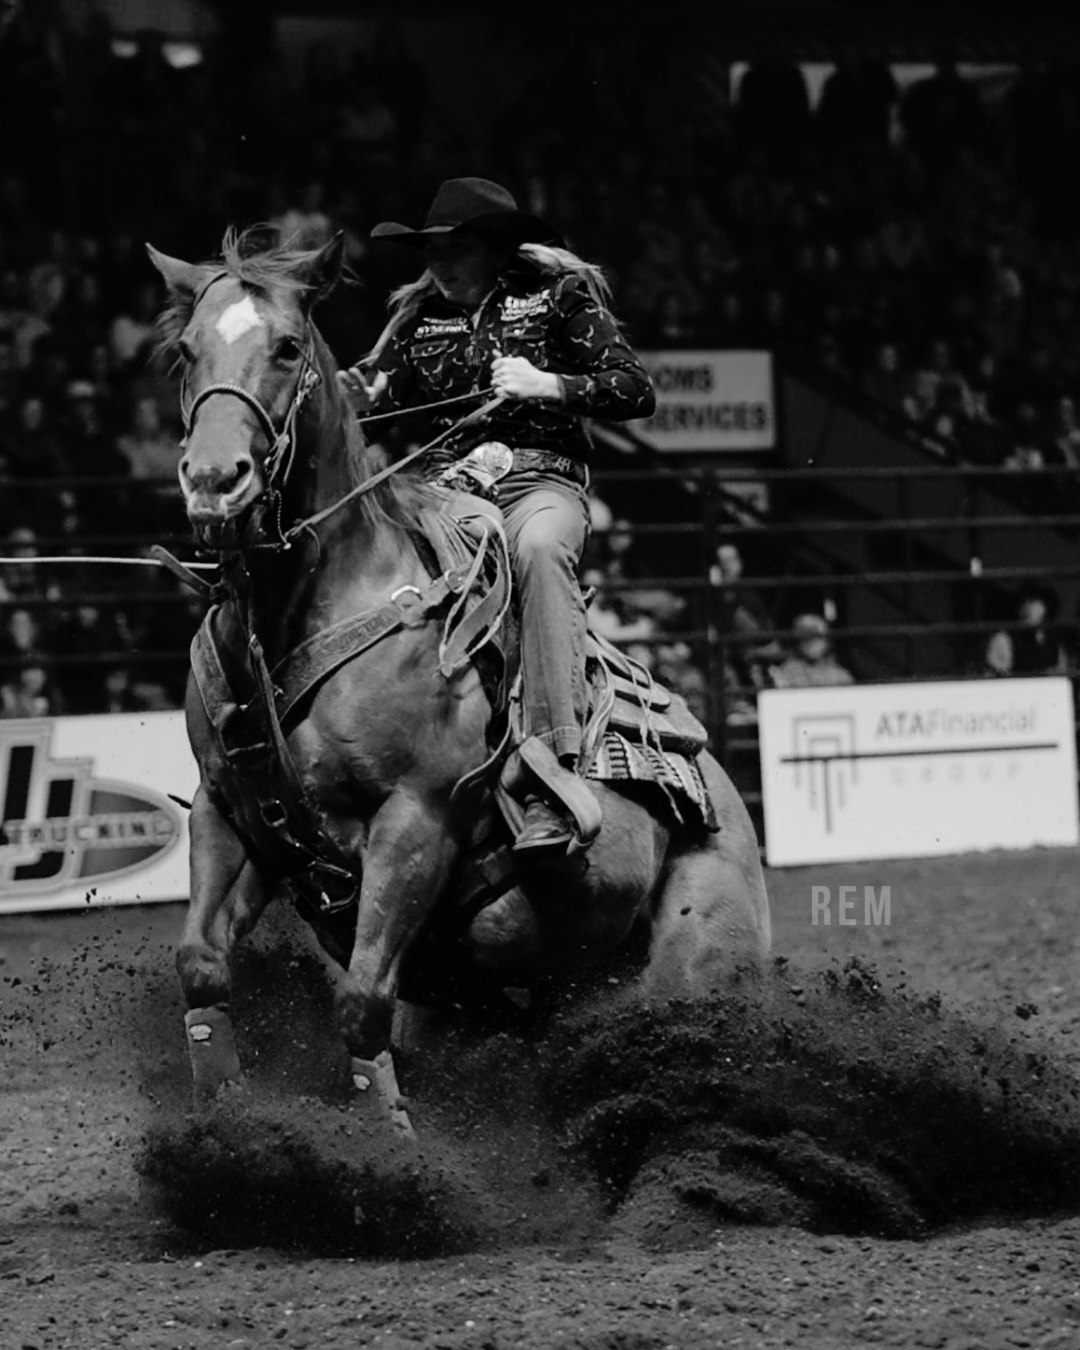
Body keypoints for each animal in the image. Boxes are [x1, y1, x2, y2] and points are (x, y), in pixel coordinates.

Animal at [146, 228, 771, 1132]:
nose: (212, 480)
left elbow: (362, 1001)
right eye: (186, 352)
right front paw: (223, 1117)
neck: (299, 616)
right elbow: (201, 961)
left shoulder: (416, 819)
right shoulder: (230, 811)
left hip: (704, 969)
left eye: (288, 347)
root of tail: (721, 790)